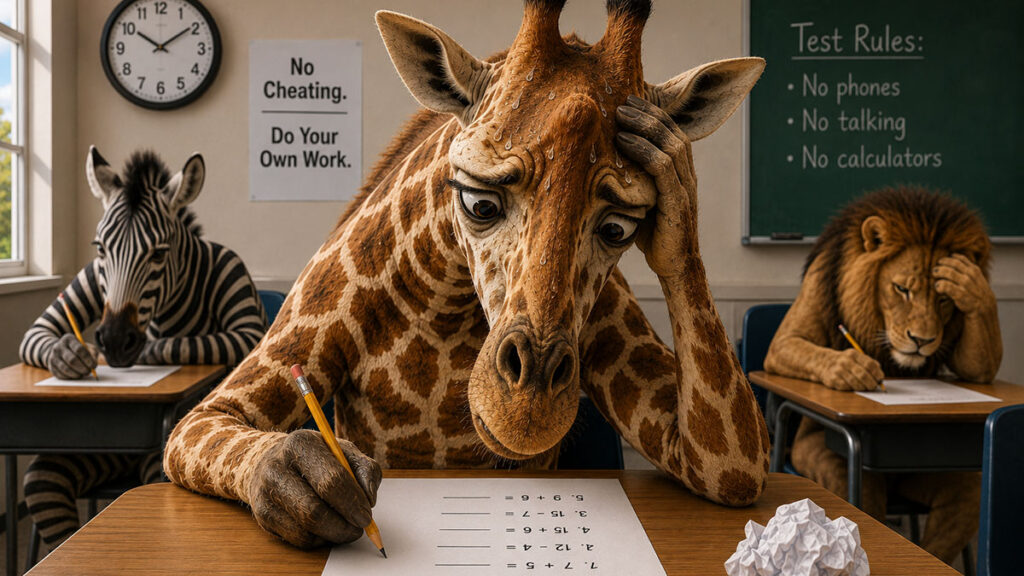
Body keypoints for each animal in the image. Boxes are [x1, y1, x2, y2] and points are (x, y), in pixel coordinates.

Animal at [164, 0, 771, 548]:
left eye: (619, 229)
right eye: (480, 203)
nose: (525, 410)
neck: (445, 298)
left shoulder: (716, 451)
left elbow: (731, 468)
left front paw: (671, 157)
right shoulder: (286, 339)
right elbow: (210, 418)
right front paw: (313, 482)